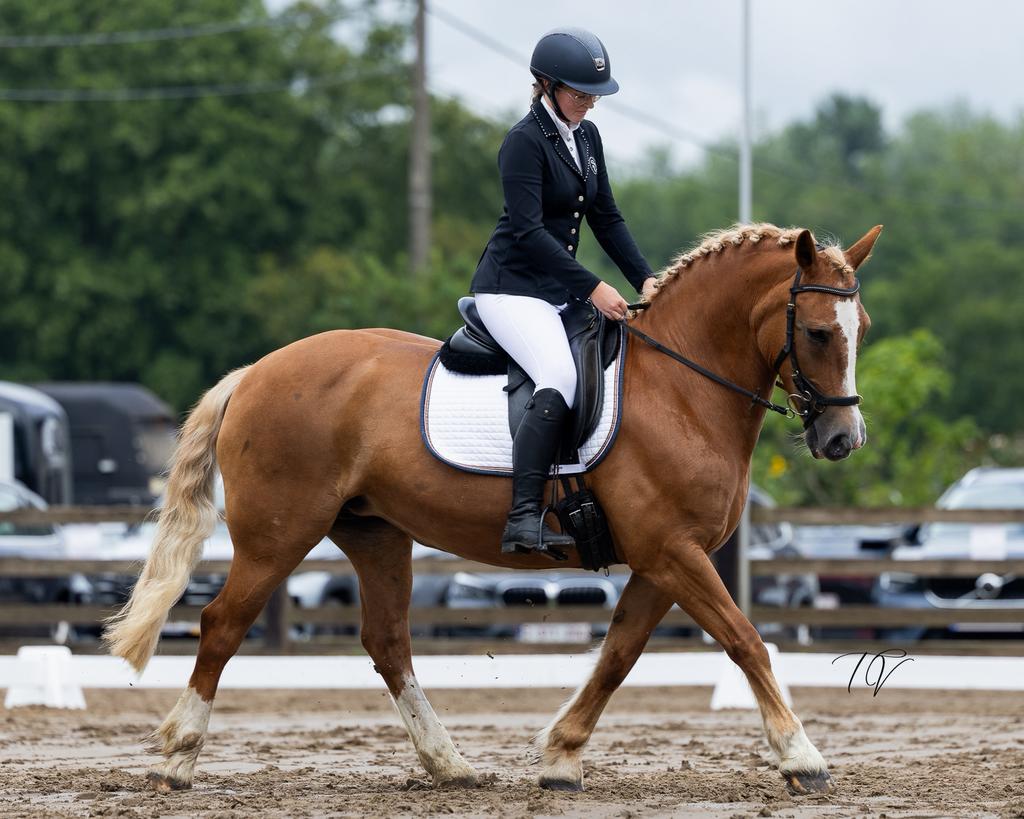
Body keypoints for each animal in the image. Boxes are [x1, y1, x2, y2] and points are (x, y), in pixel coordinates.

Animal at [105, 221, 880, 796]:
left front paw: (561, 756)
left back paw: (451, 766)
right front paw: (803, 757)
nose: (843, 440)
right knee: (222, 624)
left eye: (862, 327)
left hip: (374, 534)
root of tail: (256, 371)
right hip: (277, 535)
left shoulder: (663, 558)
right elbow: (745, 640)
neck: (680, 387)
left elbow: (619, 653)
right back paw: (178, 758)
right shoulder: (672, 551)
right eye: (818, 332)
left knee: (388, 642)